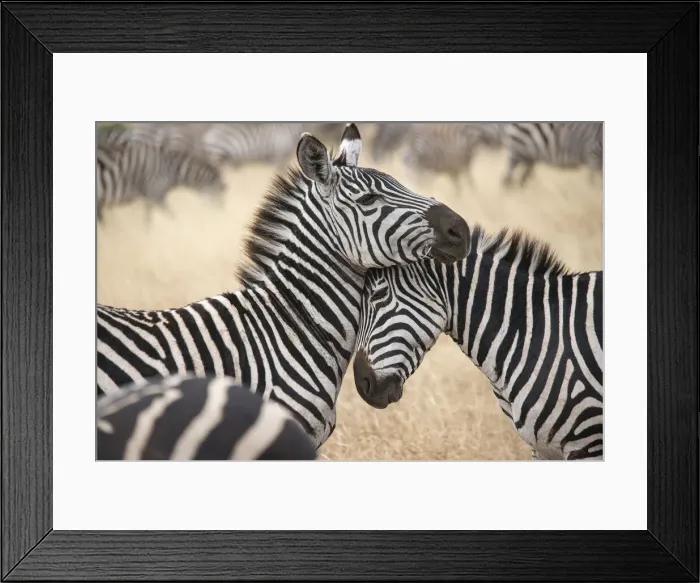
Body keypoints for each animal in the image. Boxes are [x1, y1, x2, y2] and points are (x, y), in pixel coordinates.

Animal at [96, 125, 226, 222]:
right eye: (218, 195)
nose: (222, 212)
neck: (170, 168)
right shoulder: (156, 193)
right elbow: (168, 214)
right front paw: (176, 226)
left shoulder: (151, 194)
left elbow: (149, 212)